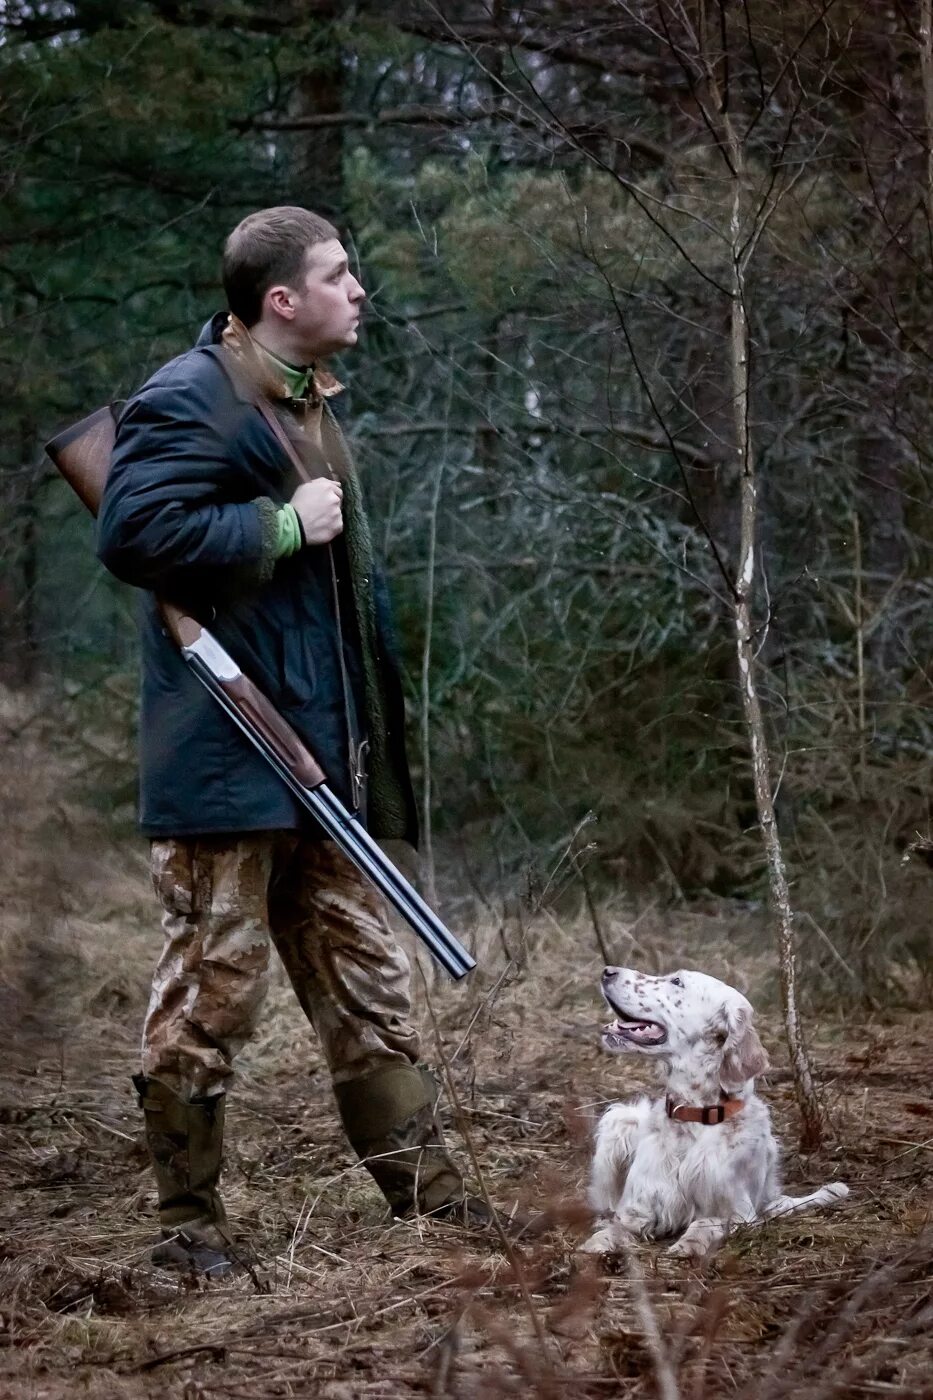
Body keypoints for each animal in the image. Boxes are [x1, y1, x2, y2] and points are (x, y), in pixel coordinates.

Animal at [585, 974, 846, 1260]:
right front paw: (595, 1245)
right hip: (621, 1119)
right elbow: (611, 1228)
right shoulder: (636, 1210)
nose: (607, 971)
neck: (694, 1117)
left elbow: (705, 1222)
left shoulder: (739, 1214)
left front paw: (688, 1244)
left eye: (676, 981)